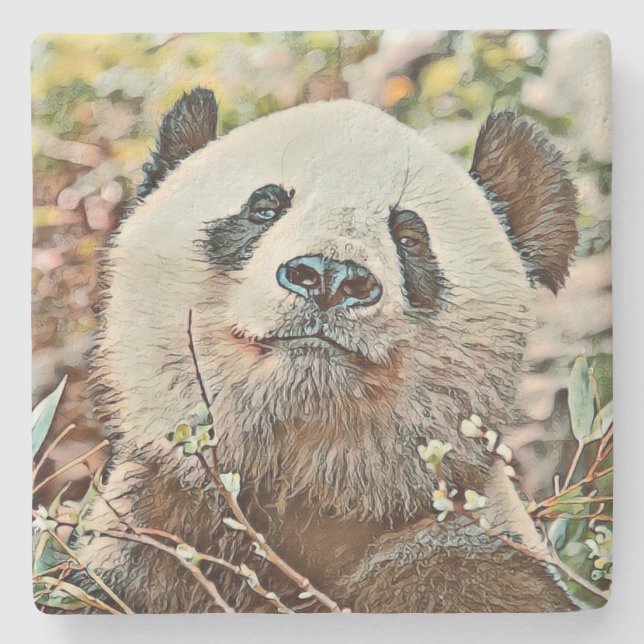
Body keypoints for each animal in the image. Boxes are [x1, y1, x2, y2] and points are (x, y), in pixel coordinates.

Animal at [79, 88, 580, 613]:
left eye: (410, 238)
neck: (309, 490)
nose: (330, 277)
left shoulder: (464, 546)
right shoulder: (154, 534)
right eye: (264, 208)